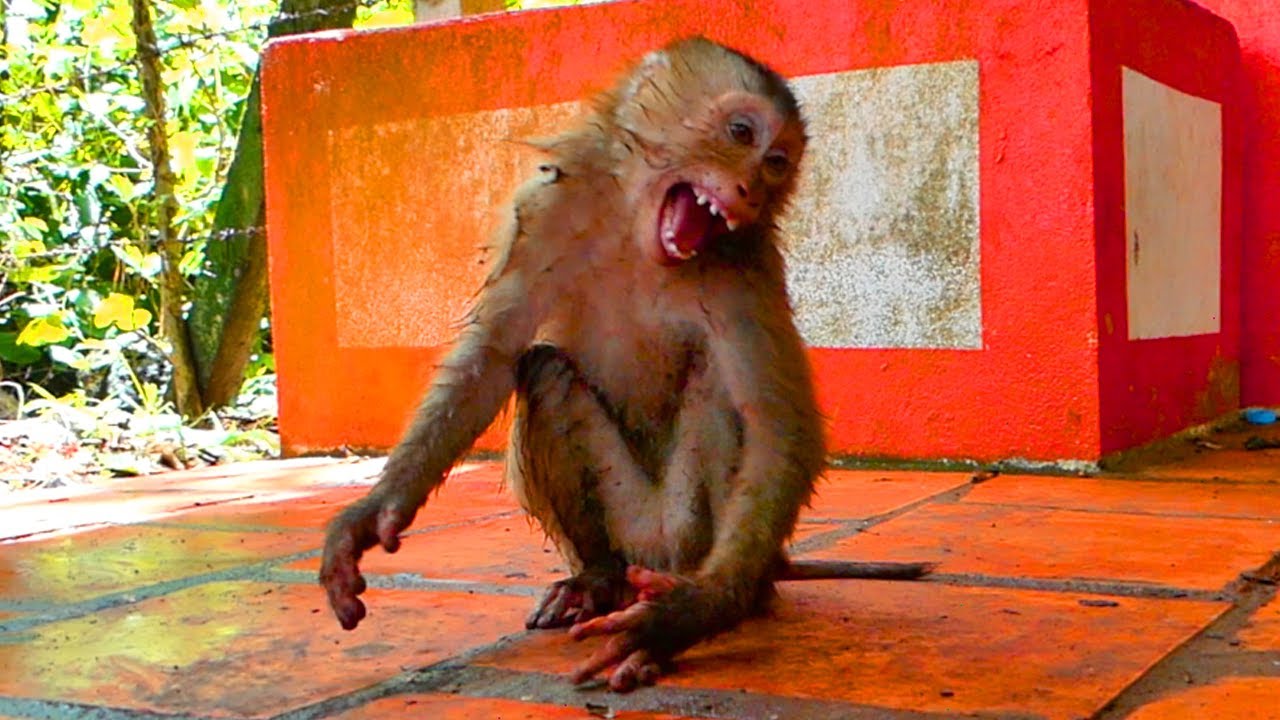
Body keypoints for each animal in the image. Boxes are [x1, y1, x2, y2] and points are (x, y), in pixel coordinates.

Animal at [320, 36, 931, 692]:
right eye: (741, 133)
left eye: (775, 163)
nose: (749, 190)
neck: (638, 239)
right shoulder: (547, 211)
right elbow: (494, 353)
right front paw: (373, 513)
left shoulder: (743, 267)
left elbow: (775, 422)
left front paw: (690, 614)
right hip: (629, 522)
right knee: (544, 371)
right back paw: (597, 579)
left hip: (681, 528)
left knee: (715, 395)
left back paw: (709, 594)